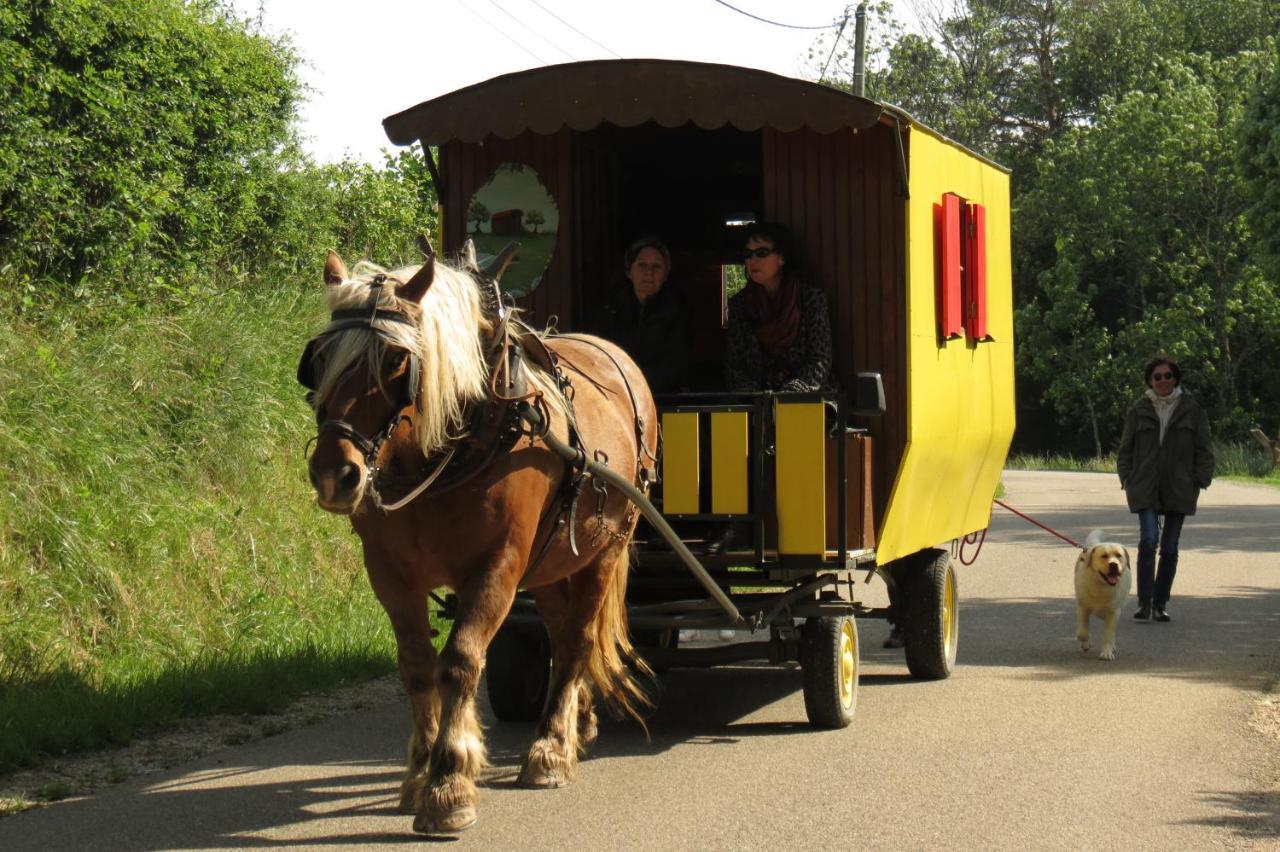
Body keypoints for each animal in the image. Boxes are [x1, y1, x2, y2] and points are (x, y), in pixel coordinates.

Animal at [296, 244, 660, 828]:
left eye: (395, 361)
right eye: (319, 357)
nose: (336, 474)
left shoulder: (498, 567)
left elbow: (461, 660)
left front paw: (449, 784)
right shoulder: (389, 574)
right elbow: (417, 667)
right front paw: (419, 774)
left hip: (607, 548)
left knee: (579, 637)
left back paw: (550, 749)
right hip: (552, 563)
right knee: (561, 634)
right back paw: (574, 724)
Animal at [1075, 527, 1136, 660]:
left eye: (1119, 555)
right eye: (1104, 556)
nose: (1113, 564)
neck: (1102, 586)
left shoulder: (1114, 612)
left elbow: (1109, 634)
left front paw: (1107, 652)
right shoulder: (1083, 607)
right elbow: (1082, 632)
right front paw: (1086, 643)